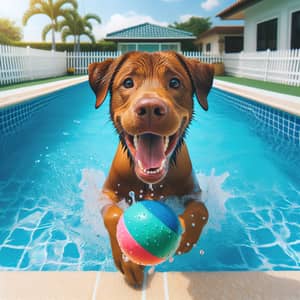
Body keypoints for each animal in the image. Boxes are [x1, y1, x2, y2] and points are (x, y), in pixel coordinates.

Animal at [88, 51, 213, 286]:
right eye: (128, 82)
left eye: (175, 82)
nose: (149, 108)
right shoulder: (106, 193)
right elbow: (113, 215)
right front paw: (126, 257)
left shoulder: (193, 192)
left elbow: (200, 211)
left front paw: (184, 235)